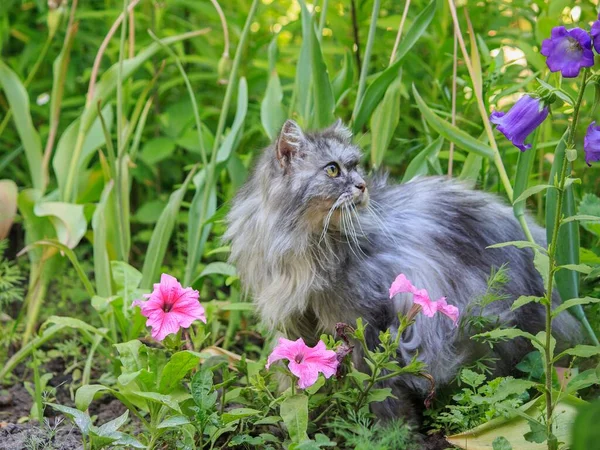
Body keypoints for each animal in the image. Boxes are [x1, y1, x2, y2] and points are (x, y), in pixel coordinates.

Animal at [223, 119, 580, 422]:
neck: (305, 243)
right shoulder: (294, 321)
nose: (362, 186)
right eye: (333, 170)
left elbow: (377, 384)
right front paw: (293, 410)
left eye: (356, 167)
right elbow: (291, 374)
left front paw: (386, 428)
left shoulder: (366, 320)